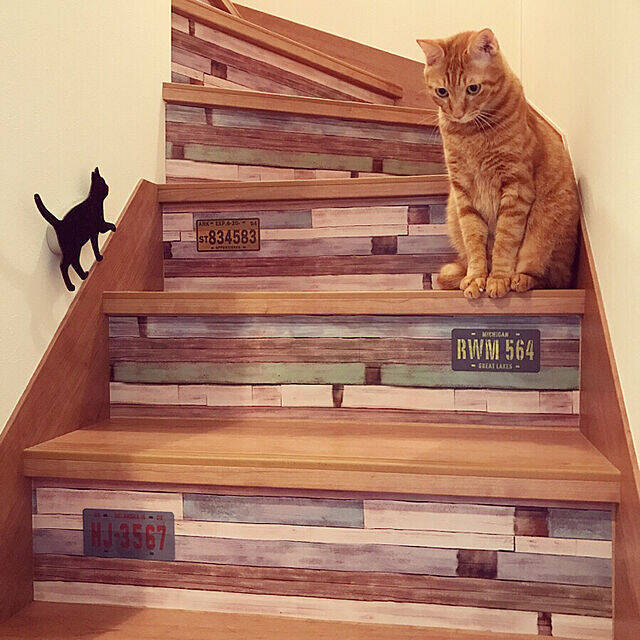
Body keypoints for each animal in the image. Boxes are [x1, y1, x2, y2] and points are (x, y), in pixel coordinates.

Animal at [417, 29, 579, 298]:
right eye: (442, 92)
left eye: (473, 88)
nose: (457, 113)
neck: (470, 133)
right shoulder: (463, 193)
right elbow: (474, 243)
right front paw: (476, 278)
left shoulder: (516, 188)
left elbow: (505, 241)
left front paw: (498, 278)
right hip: (452, 213)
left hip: (545, 235)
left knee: (552, 278)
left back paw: (521, 279)